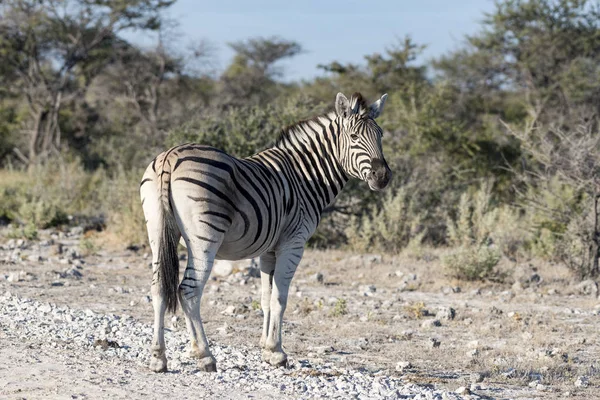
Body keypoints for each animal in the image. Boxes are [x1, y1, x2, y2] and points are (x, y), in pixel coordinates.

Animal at [141, 91, 394, 372]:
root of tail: (170, 156)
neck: (306, 176)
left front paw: (265, 347)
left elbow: (265, 297)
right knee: (188, 291)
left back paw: (158, 357)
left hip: (157, 232)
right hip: (204, 238)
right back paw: (204, 354)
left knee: (158, 289)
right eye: (354, 137)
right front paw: (277, 352)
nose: (383, 176)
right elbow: (280, 298)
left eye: (380, 135)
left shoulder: (268, 249)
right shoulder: (293, 244)